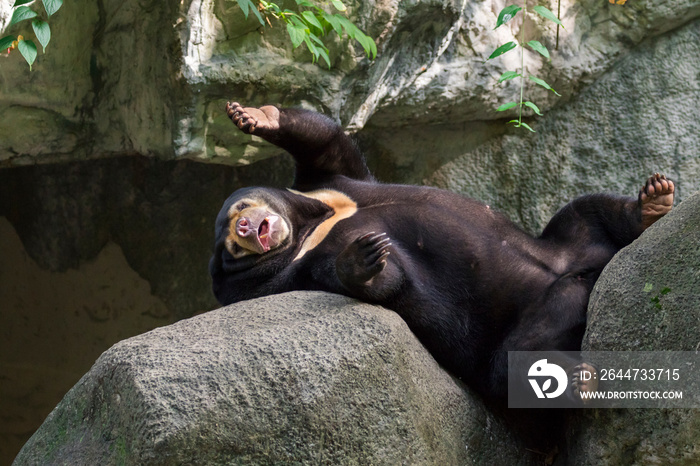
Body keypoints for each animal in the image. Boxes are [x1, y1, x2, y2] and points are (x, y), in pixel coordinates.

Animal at [211, 102, 676, 400]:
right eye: (233, 247)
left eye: (240, 208)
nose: (247, 228)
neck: (309, 228)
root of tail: (578, 280)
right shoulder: (305, 269)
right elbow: (381, 282)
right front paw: (363, 256)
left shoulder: (332, 183)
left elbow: (328, 143)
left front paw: (252, 115)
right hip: (519, 333)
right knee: (514, 366)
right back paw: (580, 380)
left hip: (568, 243)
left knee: (586, 211)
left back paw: (652, 201)